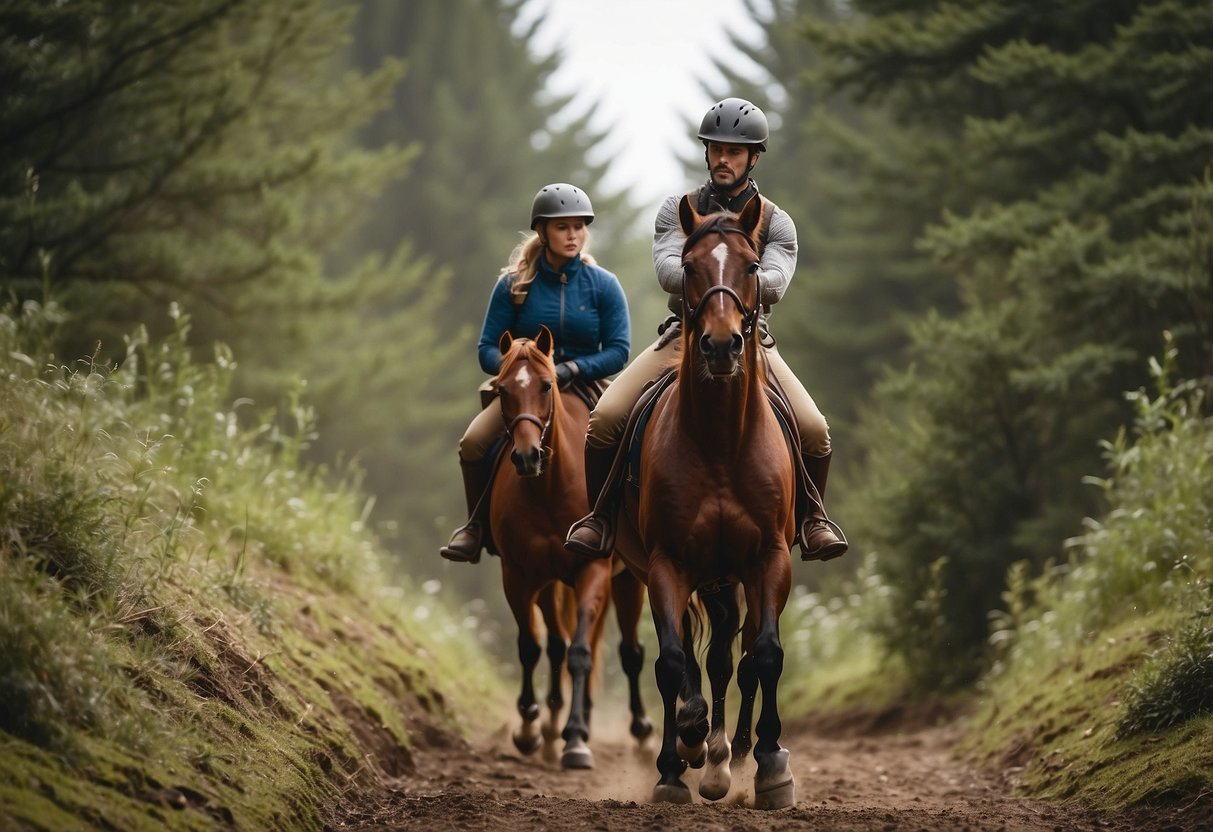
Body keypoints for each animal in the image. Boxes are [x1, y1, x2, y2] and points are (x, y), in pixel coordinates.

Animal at [487, 325, 655, 771]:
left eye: (547, 385)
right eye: (502, 389)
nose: (528, 456)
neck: (549, 488)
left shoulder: (591, 571)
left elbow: (580, 652)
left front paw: (576, 739)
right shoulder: (519, 576)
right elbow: (532, 646)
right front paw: (530, 726)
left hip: (628, 582)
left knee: (629, 652)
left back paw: (641, 733)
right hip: (550, 585)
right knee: (556, 645)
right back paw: (549, 727)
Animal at [611, 194, 800, 810]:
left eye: (751, 265)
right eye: (689, 266)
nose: (720, 345)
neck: (719, 442)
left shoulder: (769, 559)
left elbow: (764, 655)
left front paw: (770, 763)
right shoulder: (666, 563)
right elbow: (673, 662)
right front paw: (675, 765)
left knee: (735, 659)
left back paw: (731, 754)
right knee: (708, 659)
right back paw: (704, 749)